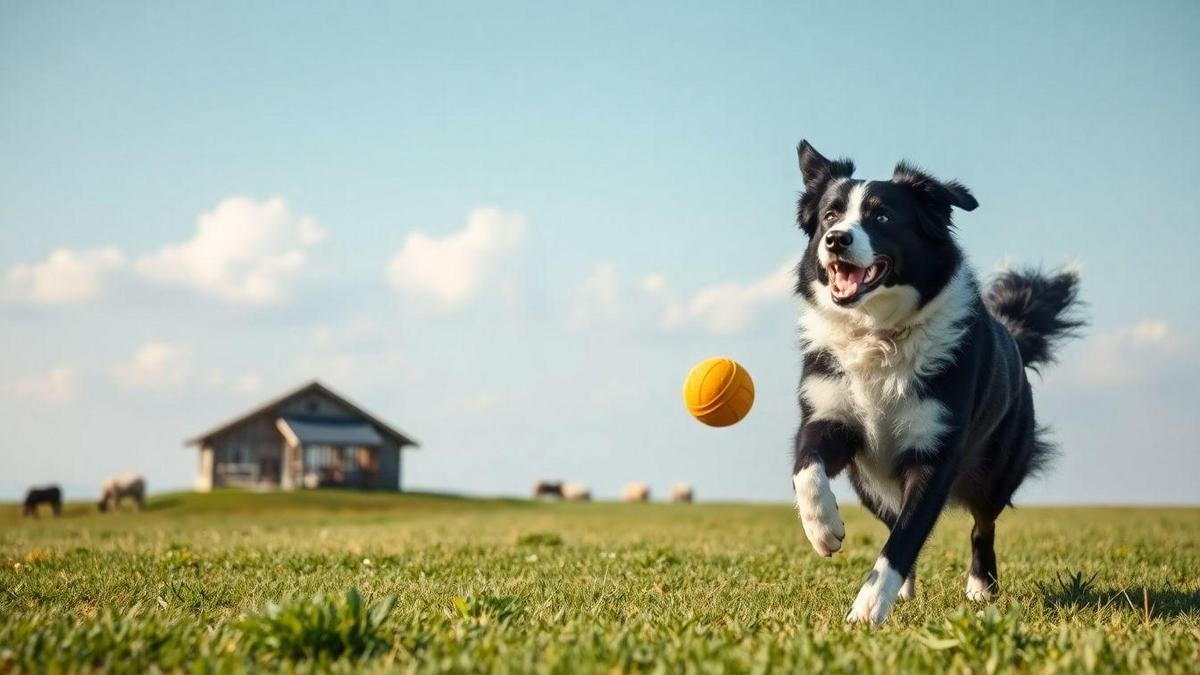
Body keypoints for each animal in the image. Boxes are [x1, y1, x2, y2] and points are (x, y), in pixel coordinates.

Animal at [787, 140, 1089, 619]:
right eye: (830, 216)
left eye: (882, 217)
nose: (836, 240)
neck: (879, 334)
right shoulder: (828, 416)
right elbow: (806, 467)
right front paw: (823, 528)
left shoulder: (935, 452)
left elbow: (905, 538)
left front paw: (867, 610)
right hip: (868, 482)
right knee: (890, 515)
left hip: (999, 467)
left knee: (982, 525)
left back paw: (981, 587)